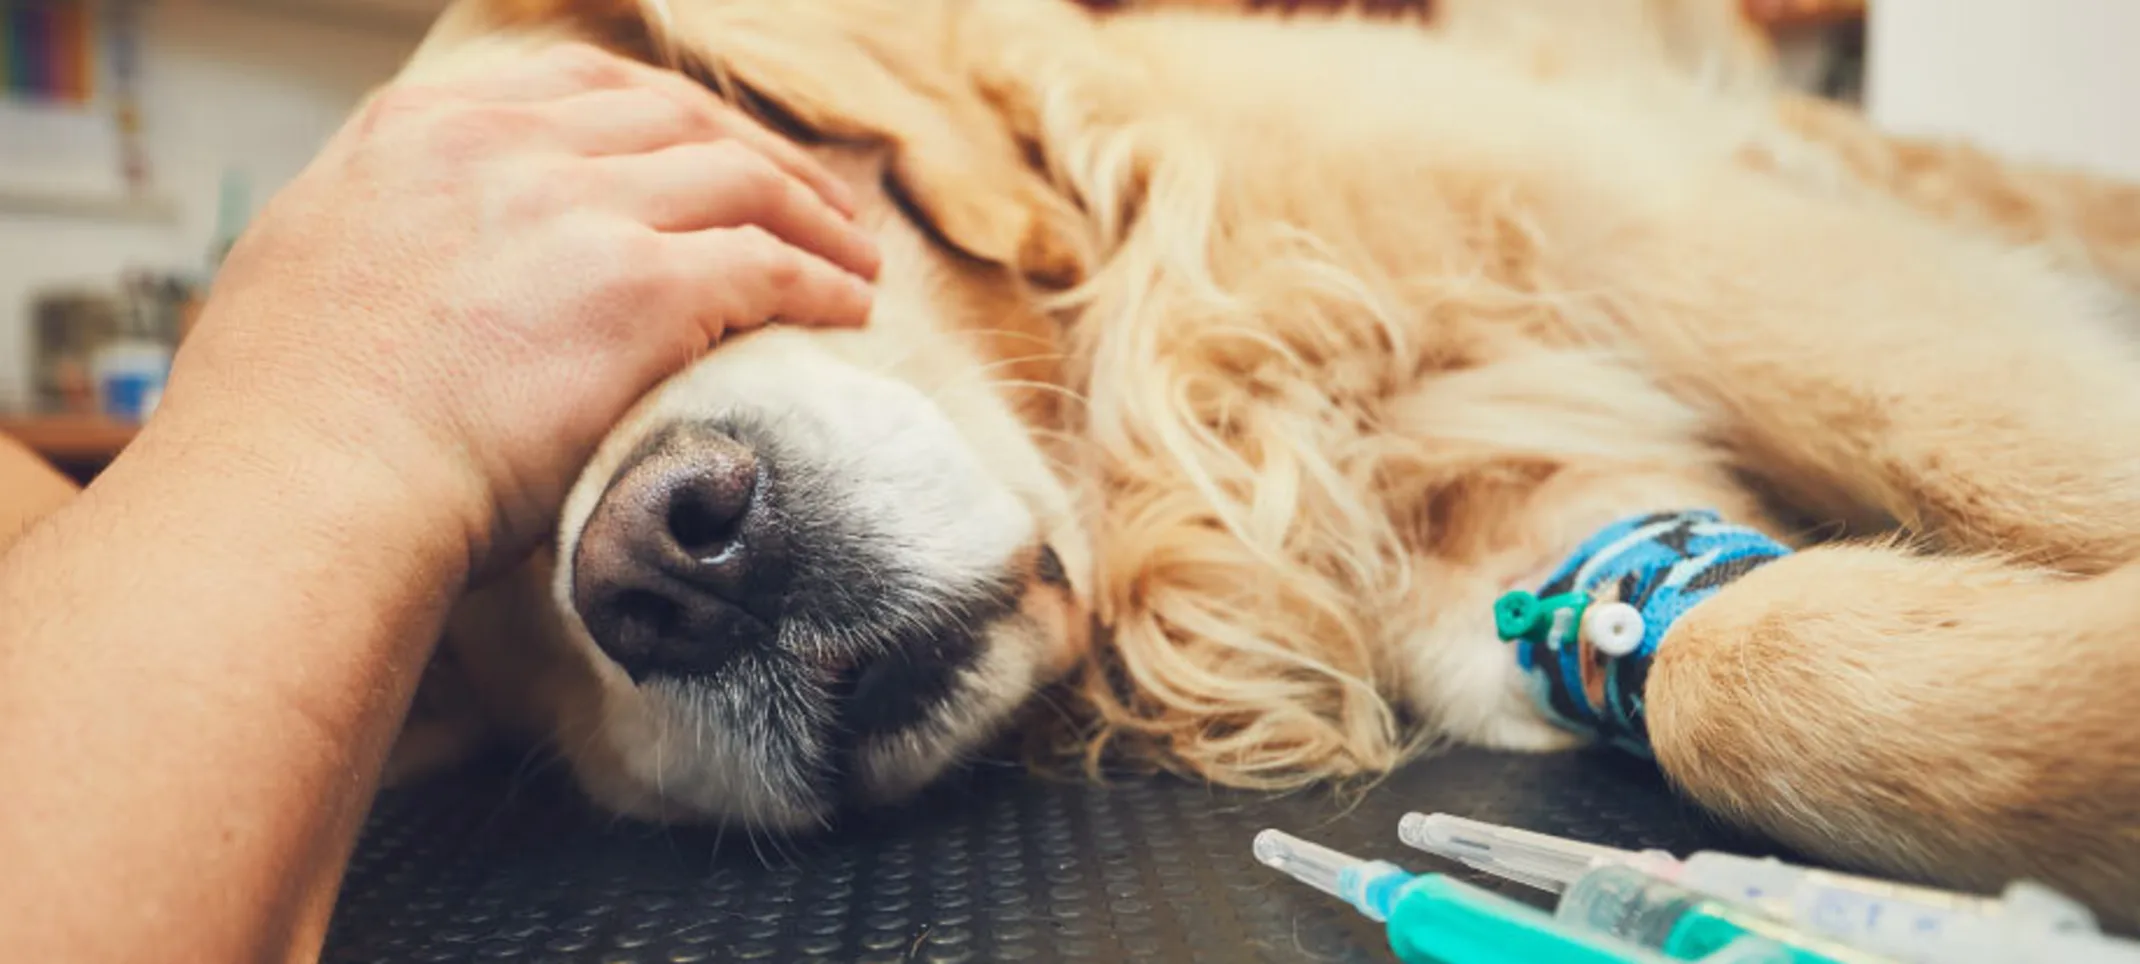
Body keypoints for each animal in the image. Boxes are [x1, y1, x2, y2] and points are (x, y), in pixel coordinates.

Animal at [385, 0, 2140, 925]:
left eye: (676, 232)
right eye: (459, 578)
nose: (661, 569)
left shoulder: (1695, 251)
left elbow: (2006, 452)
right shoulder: (1527, 577)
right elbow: (1745, 675)